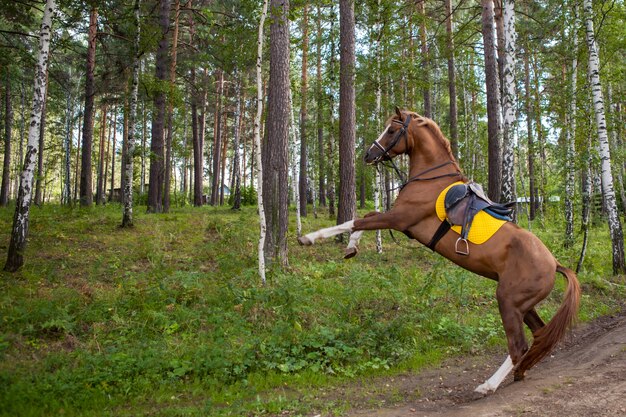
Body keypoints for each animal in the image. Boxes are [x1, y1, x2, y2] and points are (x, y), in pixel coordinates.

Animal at [298, 108, 580, 394]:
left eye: (392, 130)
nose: (369, 154)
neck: (430, 180)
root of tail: (555, 264)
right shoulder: (399, 221)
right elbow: (365, 217)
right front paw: (350, 248)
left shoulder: (399, 219)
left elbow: (355, 221)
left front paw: (309, 238)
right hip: (523, 305)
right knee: (538, 335)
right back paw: (520, 372)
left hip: (509, 301)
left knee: (518, 345)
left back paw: (488, 385)